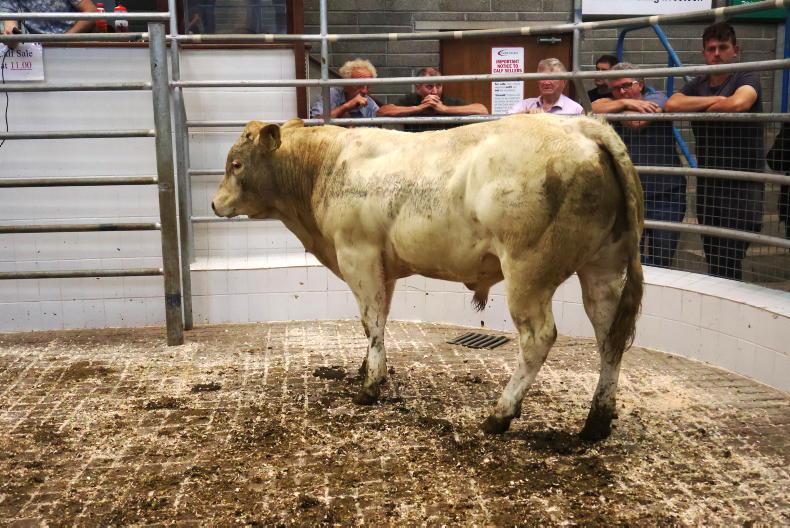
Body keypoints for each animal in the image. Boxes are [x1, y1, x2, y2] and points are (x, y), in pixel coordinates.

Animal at [212, 114, 644, 441]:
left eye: (236, 164)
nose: (214, 204)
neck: (325, 165)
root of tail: (584, 128)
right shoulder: (383, 266)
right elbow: (378, 321)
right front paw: (370, 370)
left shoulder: (358, 255)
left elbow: (371, 319)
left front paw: (370, 386)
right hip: (602, 268)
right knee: (609, 337)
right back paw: (597, 421)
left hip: (528, 272)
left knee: (538, 338)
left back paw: (500, 414)